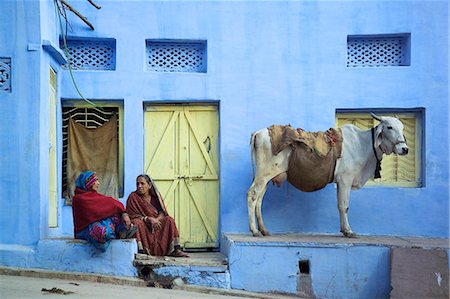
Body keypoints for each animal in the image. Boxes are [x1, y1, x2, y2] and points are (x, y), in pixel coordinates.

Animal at [246, 113, 408, 238]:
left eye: (402, 127)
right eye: (389, 127)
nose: (404, 148)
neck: (363, 144)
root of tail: (258, 132)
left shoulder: (341, 182)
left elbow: (340, 205)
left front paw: (344, 230)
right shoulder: (345, 180)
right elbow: (344, 206)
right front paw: (348, 231)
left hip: (266, 177)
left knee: (259, 199)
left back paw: (264, 230)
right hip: (263, 174)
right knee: (252, 195)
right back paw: (255, 231)